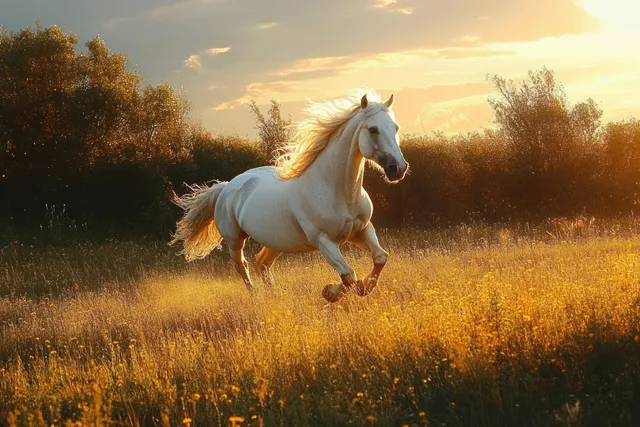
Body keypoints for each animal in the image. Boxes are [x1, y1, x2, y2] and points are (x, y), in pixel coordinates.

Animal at [170, 90, 408, 303]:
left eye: (395, 127)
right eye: (373, 129)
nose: (398, 168)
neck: (338, 192)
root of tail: (227, 187)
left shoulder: (361, 230)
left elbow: (380, 258)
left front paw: (361, 287)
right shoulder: (323, 240)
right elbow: (348, 275)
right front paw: (331, 292)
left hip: (276, 241)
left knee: (262, 262)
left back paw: (275, 294)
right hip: (234, 239)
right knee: (242, 266)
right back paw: (257, 298)